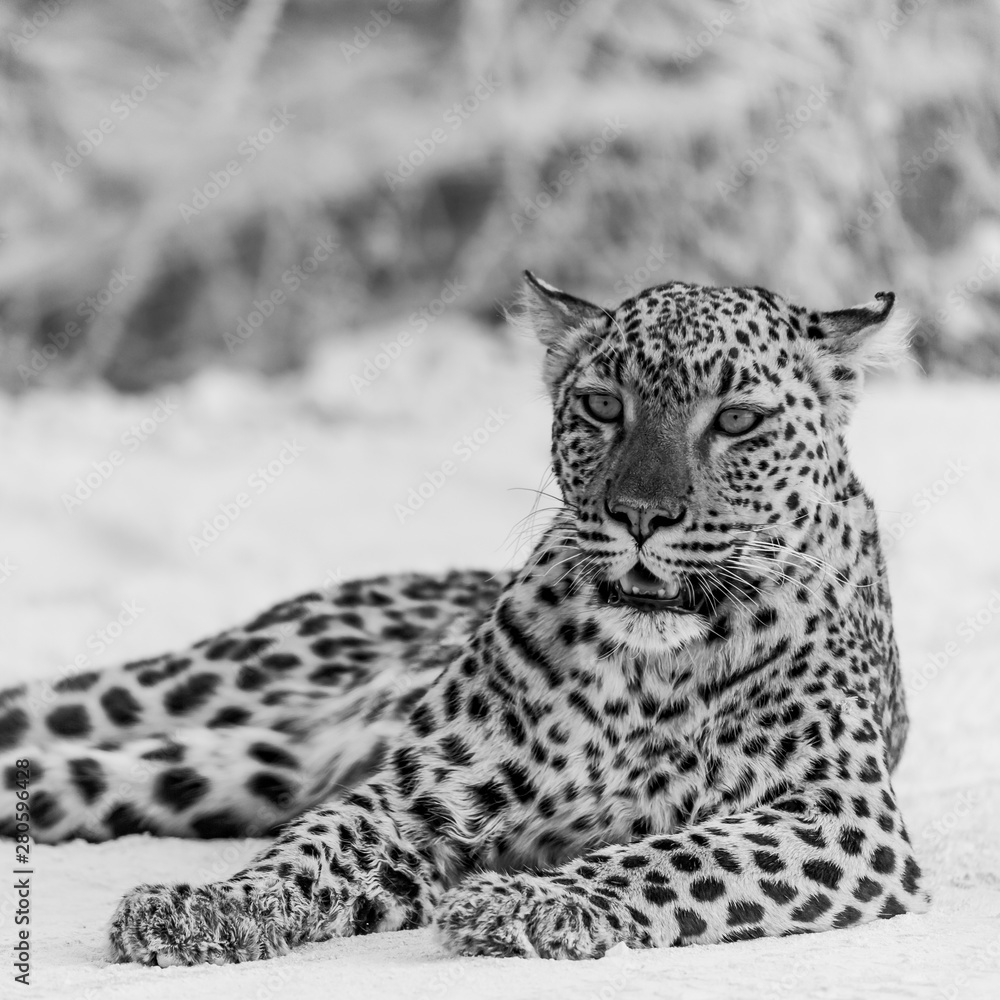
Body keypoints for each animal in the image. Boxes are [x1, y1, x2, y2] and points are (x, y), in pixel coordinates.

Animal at [0, 271, 929, 965]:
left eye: (736, 420)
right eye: (602, 407)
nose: (638, 514)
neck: (642, 672)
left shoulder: (842, 814)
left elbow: (670, 855)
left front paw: (525, 905)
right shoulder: (422, 792)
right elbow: (310, 850)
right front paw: (204, 907)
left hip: (226, 768)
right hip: (205, 680)